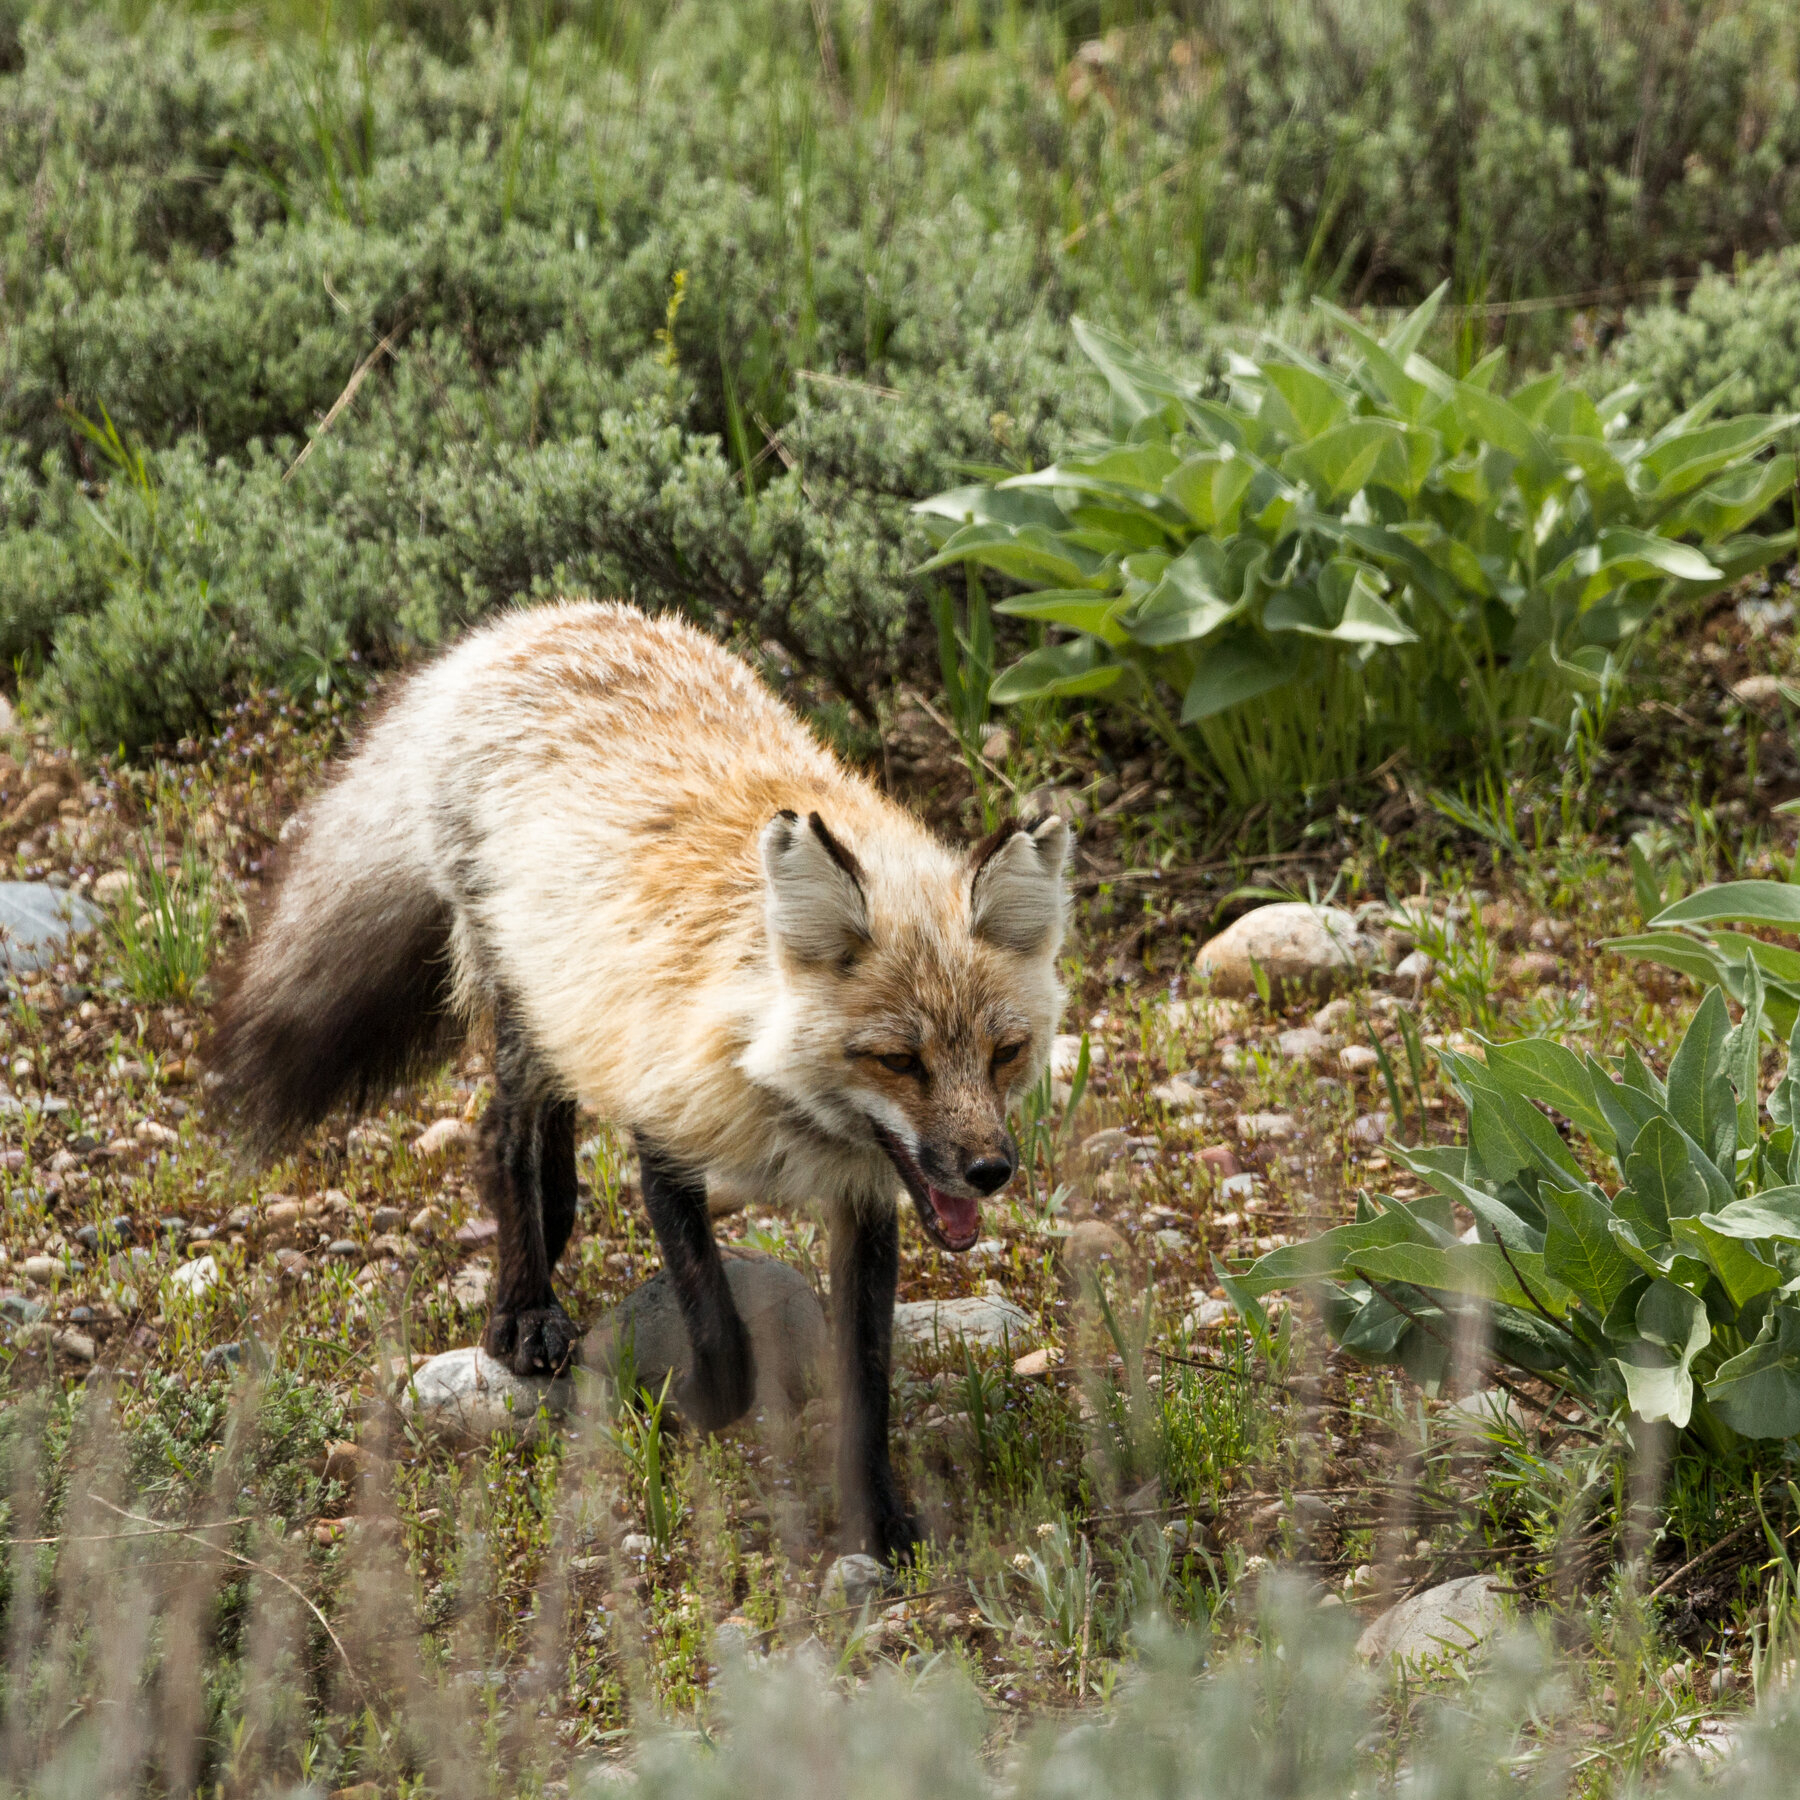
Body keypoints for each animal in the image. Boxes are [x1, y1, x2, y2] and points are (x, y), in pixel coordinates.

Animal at [205, 600, 1068, 1560]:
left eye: (1004, 1053)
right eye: (898, 1061)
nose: (990, 1171)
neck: (785, 1103)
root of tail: (537, 621)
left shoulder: (867, 1198)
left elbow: (866, 1376)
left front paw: (876, 1517)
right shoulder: (667, 1131)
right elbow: (722, 1340)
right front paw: (693, 1407)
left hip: (564, 997)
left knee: (552, 1137)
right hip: (517, 990)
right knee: (502, 1138)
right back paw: (524, 1306)